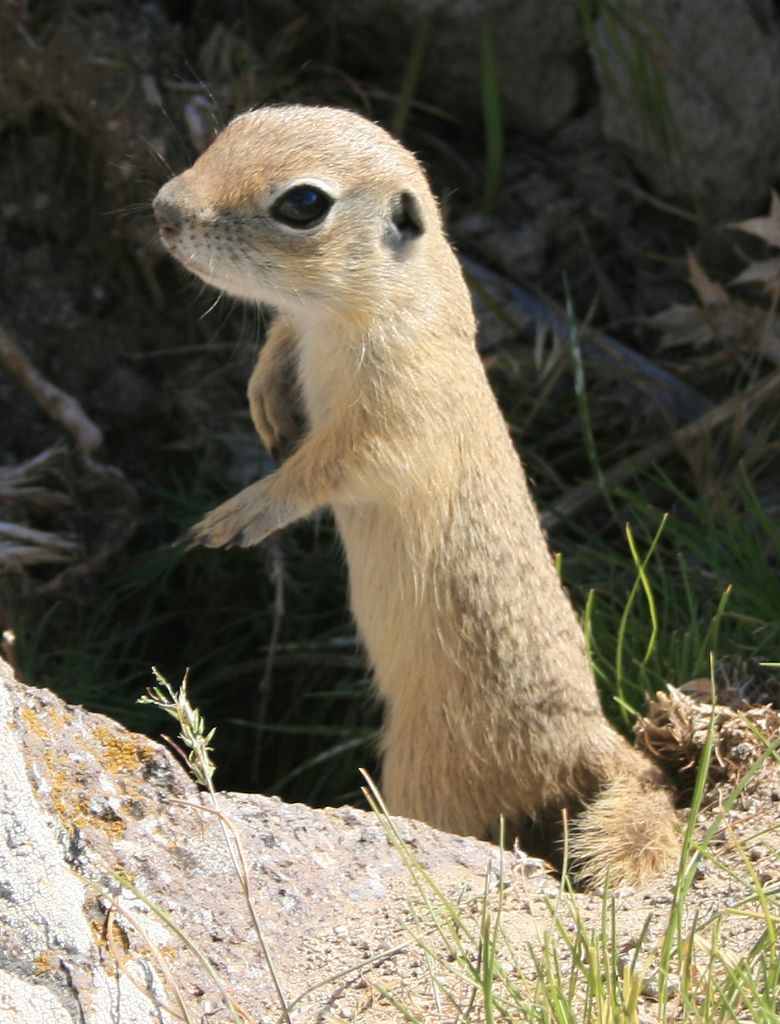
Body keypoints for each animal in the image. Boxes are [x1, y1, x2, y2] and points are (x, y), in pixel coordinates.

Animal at [151, 105, 675, 888]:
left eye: (303, 203)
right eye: (235, 126)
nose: (164, 210)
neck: (339, 318)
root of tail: (590, 736)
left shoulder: (396, 422)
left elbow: (322, 471)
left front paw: (238, 514)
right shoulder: (297, 330)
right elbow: (276, 346)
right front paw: (265, 404)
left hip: (426, 773)